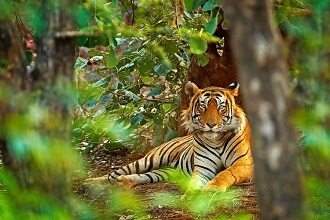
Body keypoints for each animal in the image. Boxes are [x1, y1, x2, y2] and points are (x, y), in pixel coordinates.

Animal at [84, 81, 253, 193]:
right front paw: (190, 196)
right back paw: (90, 182)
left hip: (166, 172)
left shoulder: (244, 163)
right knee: (113, 173)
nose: (211, 124)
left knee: (143, 176)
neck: (216, 140)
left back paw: (124, 182)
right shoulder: (203, 167)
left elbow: (226, 173)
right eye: (202, 107)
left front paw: (212, 188)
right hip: (149, 160)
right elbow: (195, 182)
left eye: (221, 108)